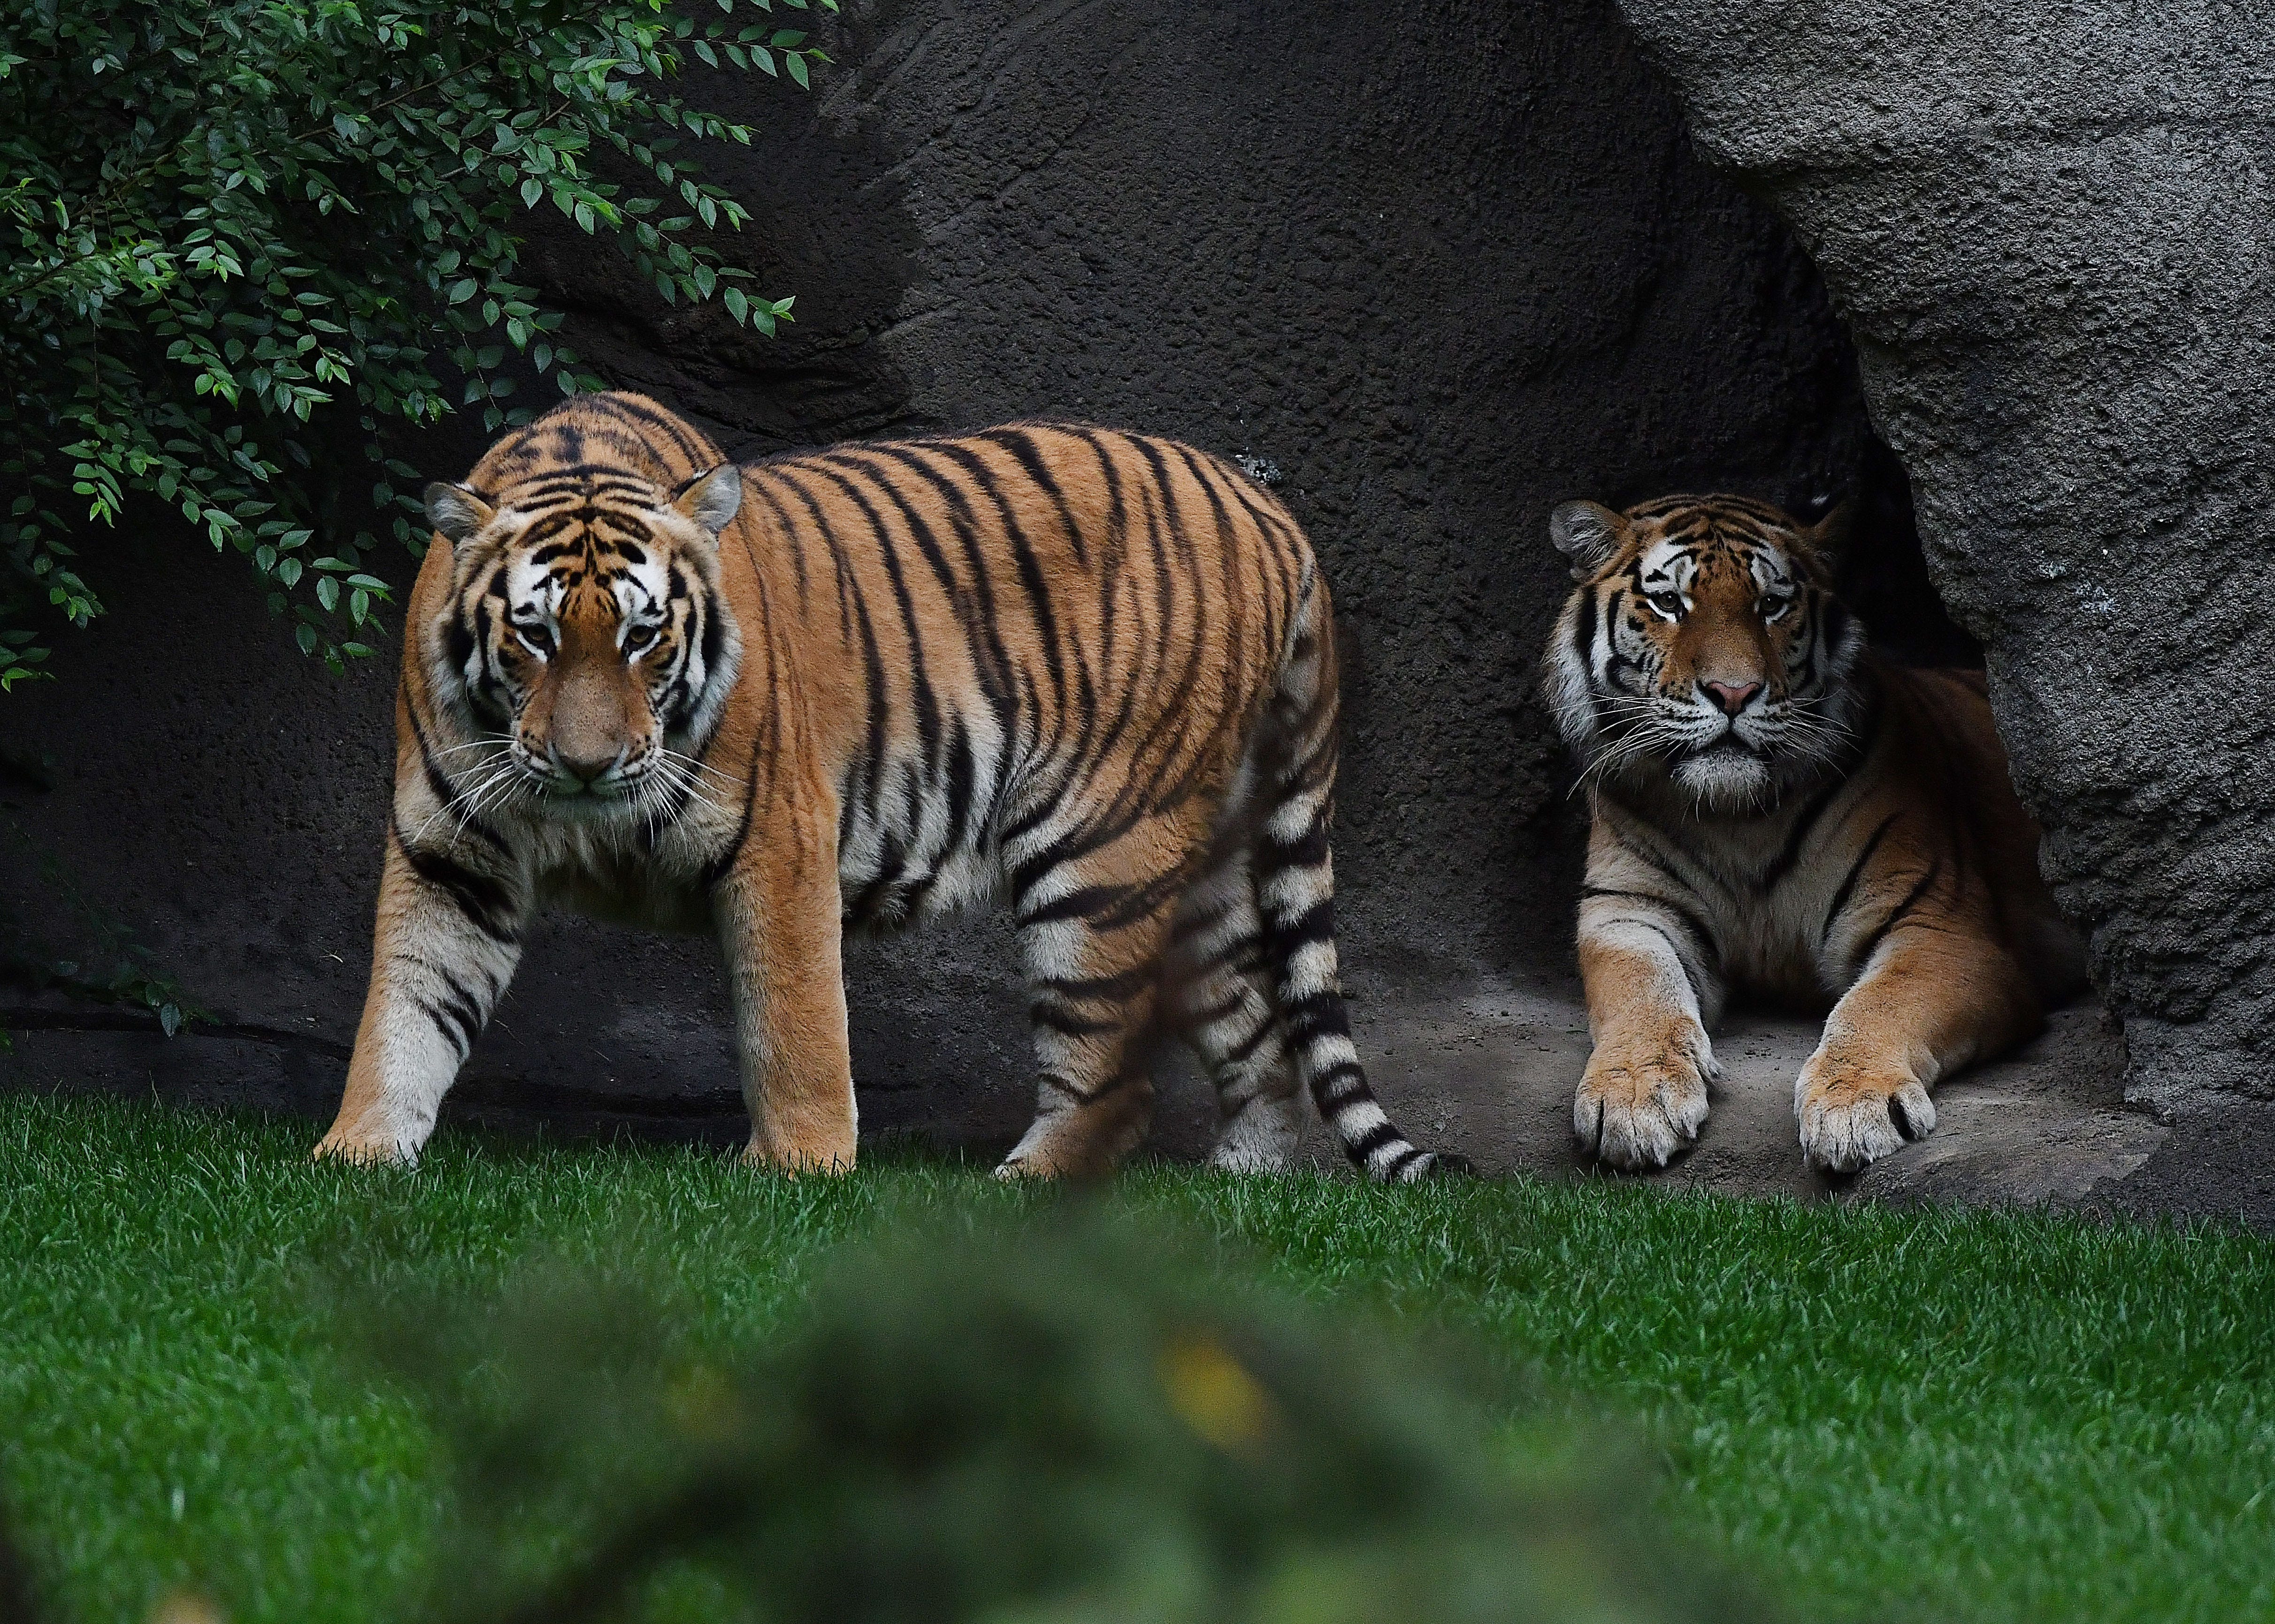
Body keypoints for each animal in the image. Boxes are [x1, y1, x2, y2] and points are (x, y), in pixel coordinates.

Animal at [315, 391, 1465, 1182]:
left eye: (643, 637)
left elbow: (796, 1022)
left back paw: (1018, 1189)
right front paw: (356, 1155)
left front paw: (800, 1168)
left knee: (1116, 1072)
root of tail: (1267, 508)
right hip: (1203, 851)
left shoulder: (777, 841)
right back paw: (1245, 1183)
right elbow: (406, 1006)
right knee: (1257, 1025)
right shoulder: (450, 848)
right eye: (536, 636)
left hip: (1098, 849)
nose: (589, 765)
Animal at [1539, 491, 2087, 1174]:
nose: (1732, 693)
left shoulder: (1938, 926)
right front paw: (1635, 1096)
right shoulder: (1628, 912)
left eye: (1771, 604)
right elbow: (1639, 996)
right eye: (1668, 602)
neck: (1736, 818)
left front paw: (1856, 1106)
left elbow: (1877, 1003)